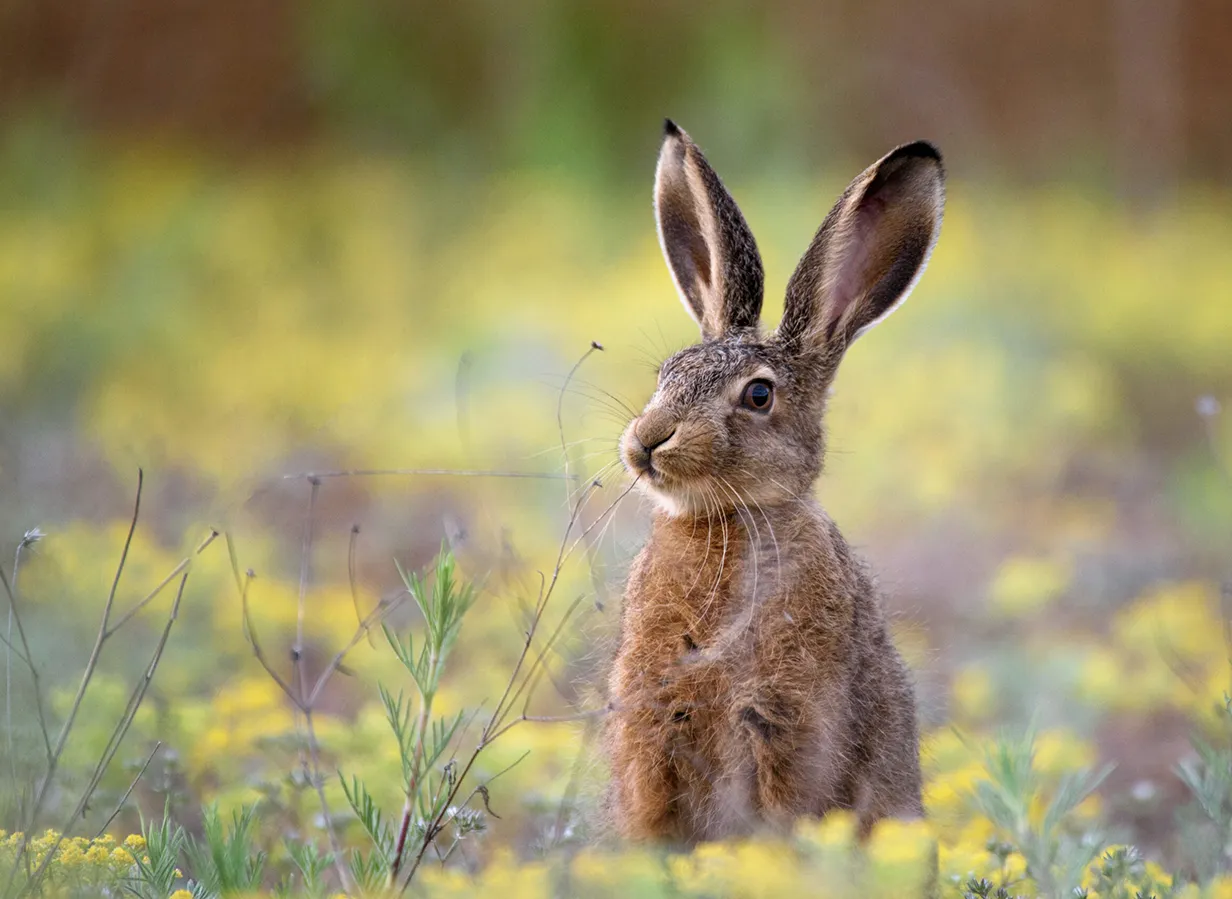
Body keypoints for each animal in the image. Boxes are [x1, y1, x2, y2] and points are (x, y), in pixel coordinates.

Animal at [603, 120, 945, 844]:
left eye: (758, 395)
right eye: (666, 373)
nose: (647, 441)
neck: (728, 520)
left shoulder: (786, 720)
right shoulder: (649, 722)